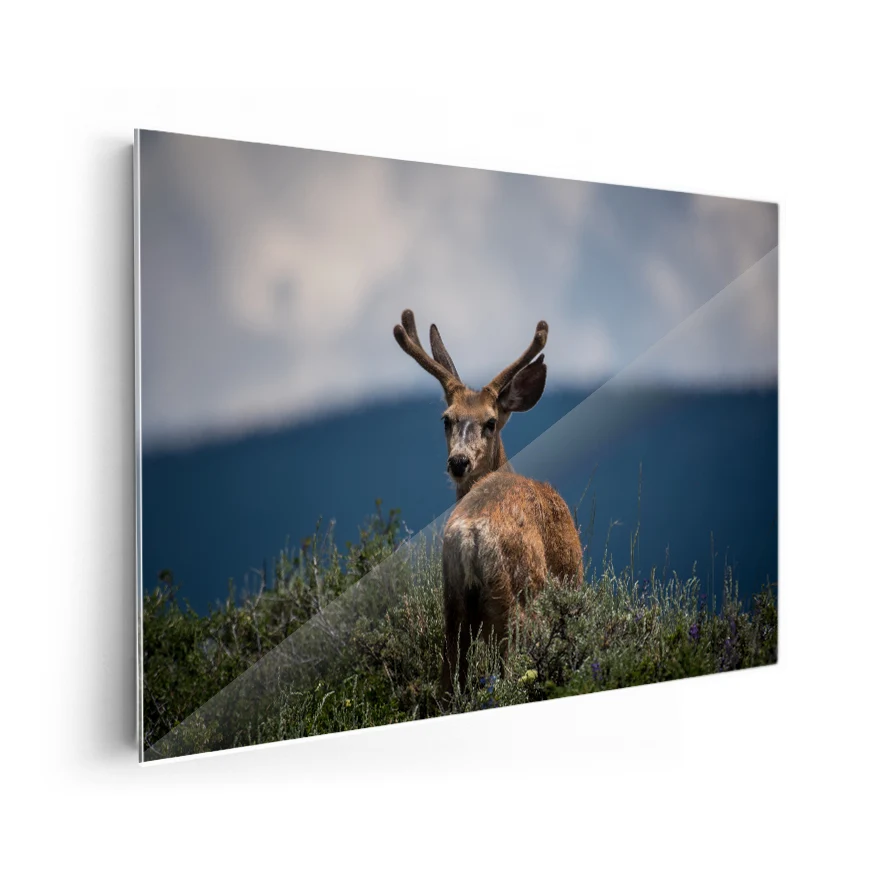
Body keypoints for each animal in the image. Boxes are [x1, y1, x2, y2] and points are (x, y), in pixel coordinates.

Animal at [393, 309, 583, 695]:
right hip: (515, 600)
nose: (458, 462)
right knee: (511, 675)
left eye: (490, 421)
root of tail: (470, 537)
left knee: (447, 683)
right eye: (447, 419)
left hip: (452, 603)